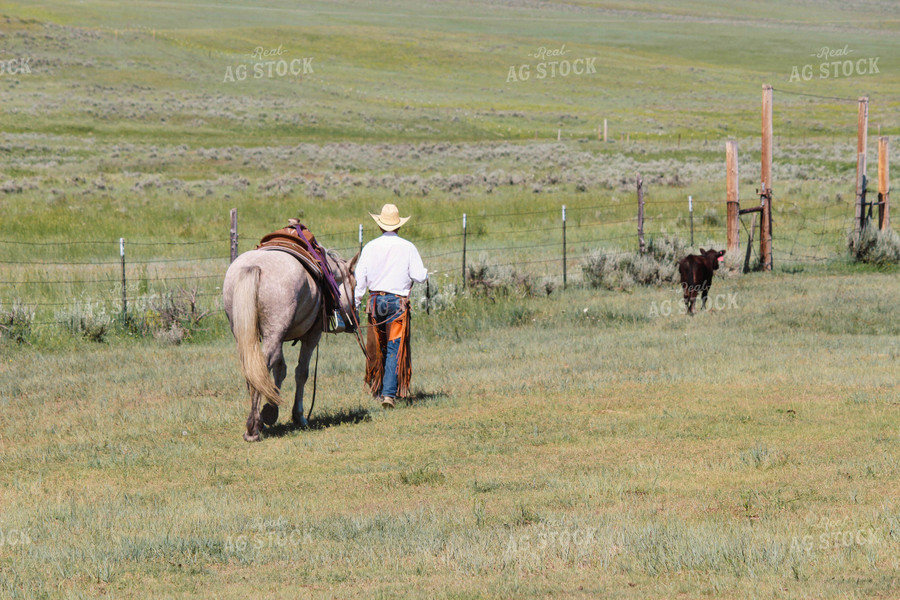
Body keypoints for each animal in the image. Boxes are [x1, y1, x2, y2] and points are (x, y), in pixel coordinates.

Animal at [223, 247, 360, 440]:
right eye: (355, 284)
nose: (354, 321)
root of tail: (253, 266)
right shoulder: (312, 336)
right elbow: (301, 372)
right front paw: (298, 416)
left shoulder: (277, 338)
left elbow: (280, 370)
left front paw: (271, 409)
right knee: (261, 369)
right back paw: (253, 427)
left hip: (247, 334)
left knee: (253, 370)